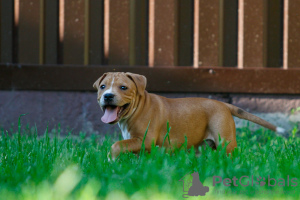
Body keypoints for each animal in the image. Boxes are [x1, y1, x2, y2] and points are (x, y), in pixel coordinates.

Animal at [92, 72, 284, 160]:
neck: (138, 107)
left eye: (123, 87)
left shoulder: (144, 139)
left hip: (225, 140)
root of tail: (224, 104)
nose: (107, 96)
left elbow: (116, 145)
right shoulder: (138, 143)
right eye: (102, 87)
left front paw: (110, 160)